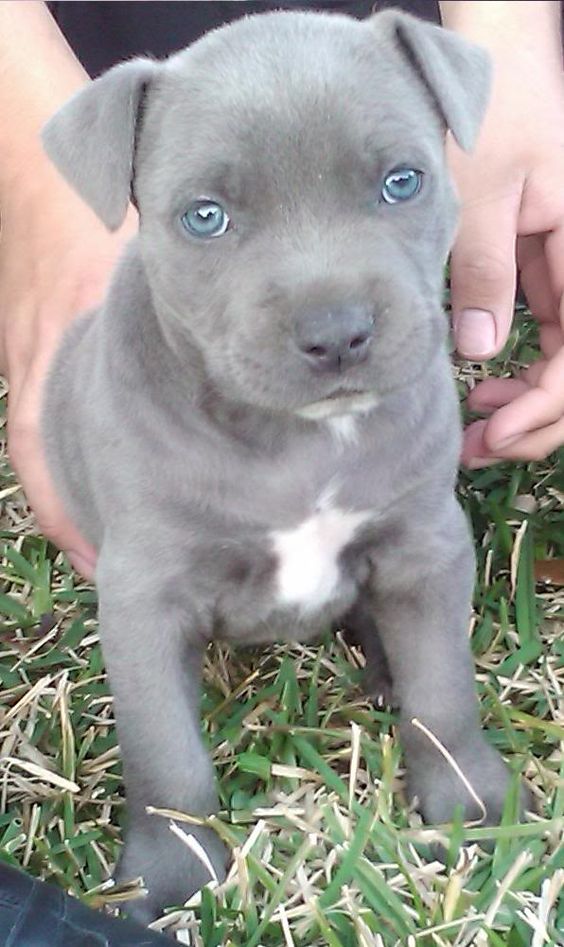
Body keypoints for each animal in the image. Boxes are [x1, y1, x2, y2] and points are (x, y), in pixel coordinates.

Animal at [41, 7, 528, 924]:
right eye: (204, 218)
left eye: (403, 182)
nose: (337, 333)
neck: (301, 442)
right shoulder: (144, 594)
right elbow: (166, 755)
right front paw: (171, 877)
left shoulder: (424, 545)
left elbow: (445, 692)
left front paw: (475, 811)